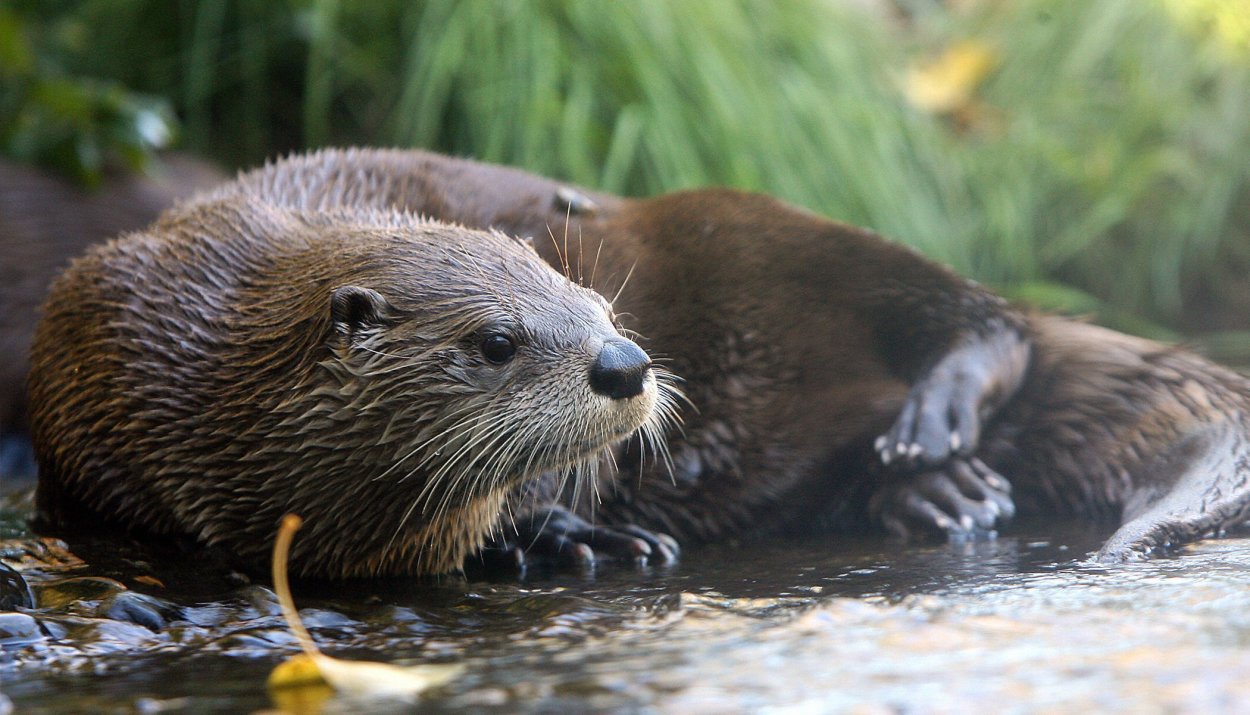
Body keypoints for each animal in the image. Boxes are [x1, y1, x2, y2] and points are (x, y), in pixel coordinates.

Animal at [185, 149, 1250, 565]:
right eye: (494, 343)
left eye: (591, 305)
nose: (626, 363)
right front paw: (564, 536)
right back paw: (935, 491)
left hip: (762, 225)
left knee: (988, 318)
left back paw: (934, 430)